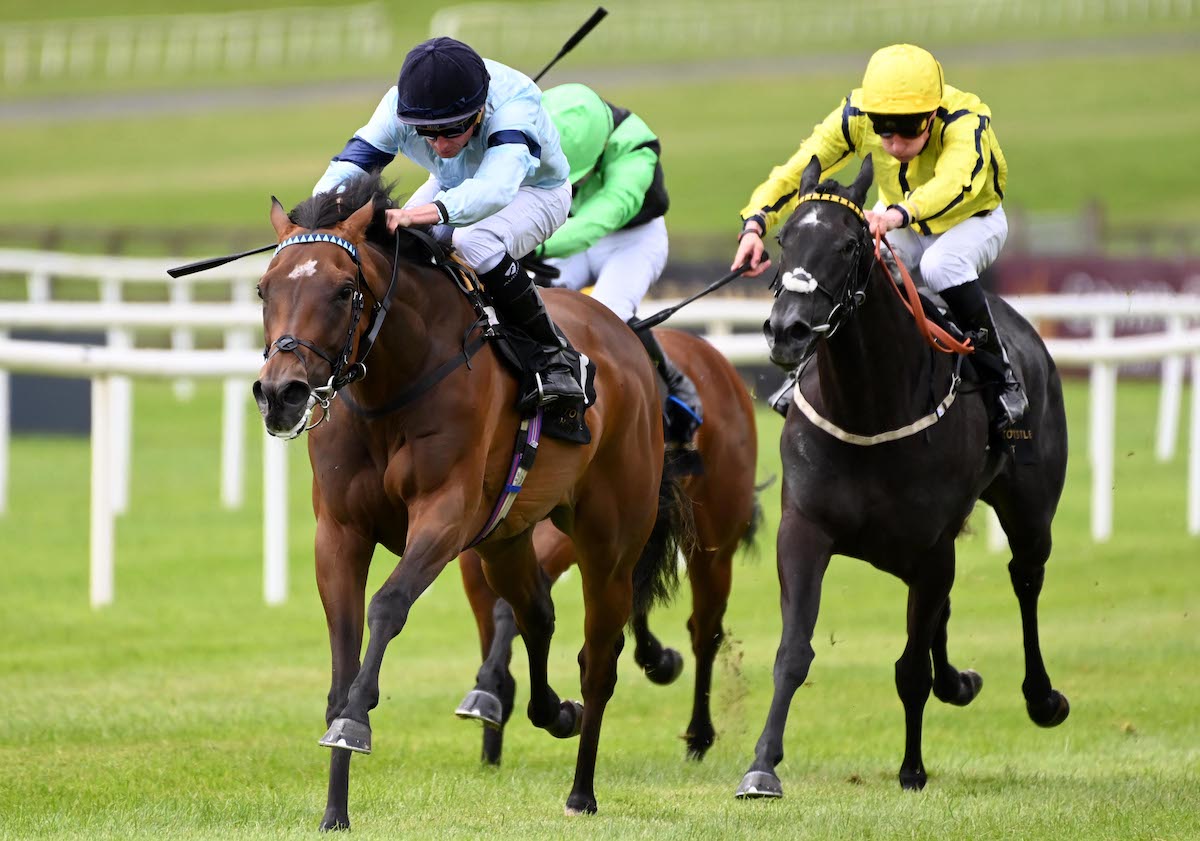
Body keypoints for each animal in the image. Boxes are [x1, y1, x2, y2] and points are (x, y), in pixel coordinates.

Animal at [253, 173, 686, 825]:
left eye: (344, 290)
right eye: (264, 288)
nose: (282, 394)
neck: (392, 388)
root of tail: (624, 335)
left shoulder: (446, 515)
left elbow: (388, 605)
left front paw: (355, 723)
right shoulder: (340, 530)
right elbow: (342, 652)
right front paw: (334, 810)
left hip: (609, 542)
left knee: (598, 661)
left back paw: (581, 790)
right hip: (505, 539)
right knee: (537, 614)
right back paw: (550, 711)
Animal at [739, 154, 1070, 796]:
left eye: (848, 244)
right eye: (784, 238)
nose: (787, 330)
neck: (869, 408)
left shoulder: (931, 546)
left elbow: (911, 669)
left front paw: (912, 768)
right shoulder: (805, 529)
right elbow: (794, 651)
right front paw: (761, 766)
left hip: (1028, 509)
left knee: (1026, 578)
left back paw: (1041, 697)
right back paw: (959, 681)